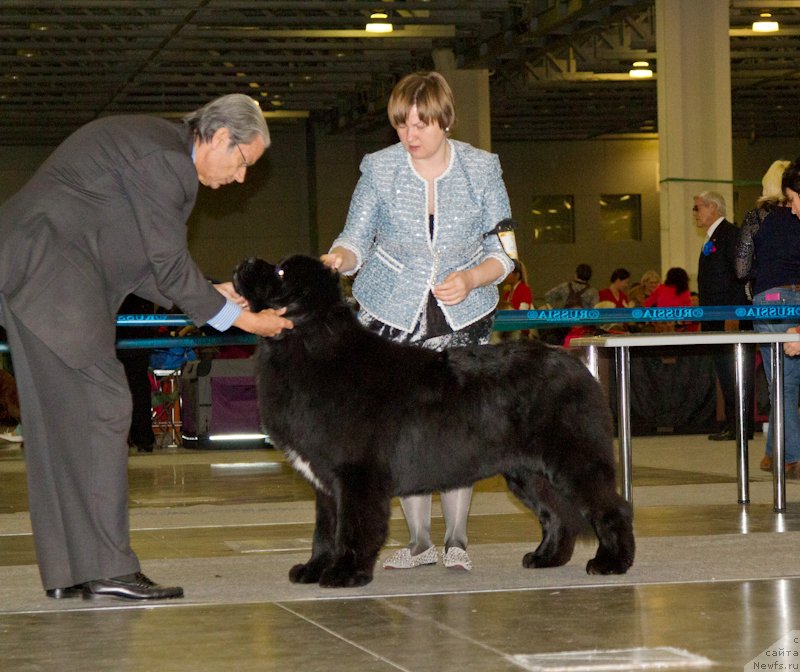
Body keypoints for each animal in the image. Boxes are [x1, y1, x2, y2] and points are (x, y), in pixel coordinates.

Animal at [234, 255, 636, 584]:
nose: (245, 262)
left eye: (280, 272)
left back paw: (612, 563)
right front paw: (313, 569)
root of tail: (577, 367)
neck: (310, 344)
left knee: (611, 507)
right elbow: (324, 529)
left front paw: (345, 573)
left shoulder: (355, 474)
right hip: (527, 473)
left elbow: (353, 527)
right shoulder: (325, 480)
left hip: (573, 461)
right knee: (556, 514)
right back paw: (545, 558)